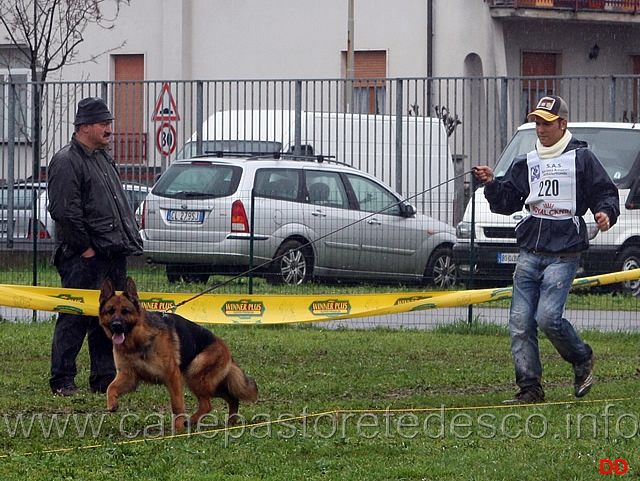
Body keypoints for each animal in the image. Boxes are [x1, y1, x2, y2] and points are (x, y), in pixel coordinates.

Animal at [97, 276, 258, 430]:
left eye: (125, 311)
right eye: (110, 311)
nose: (116, 326)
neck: (138, 340)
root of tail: (226, 348)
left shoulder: (172, 376)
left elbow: (177, 404)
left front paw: (177, 428)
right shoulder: (129, 376)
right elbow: (110, 387)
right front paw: (112, 403)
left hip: (195, 376)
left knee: (207, 405)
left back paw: (191, 421)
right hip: (207, 382)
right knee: (231, 398)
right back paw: (230, 420)